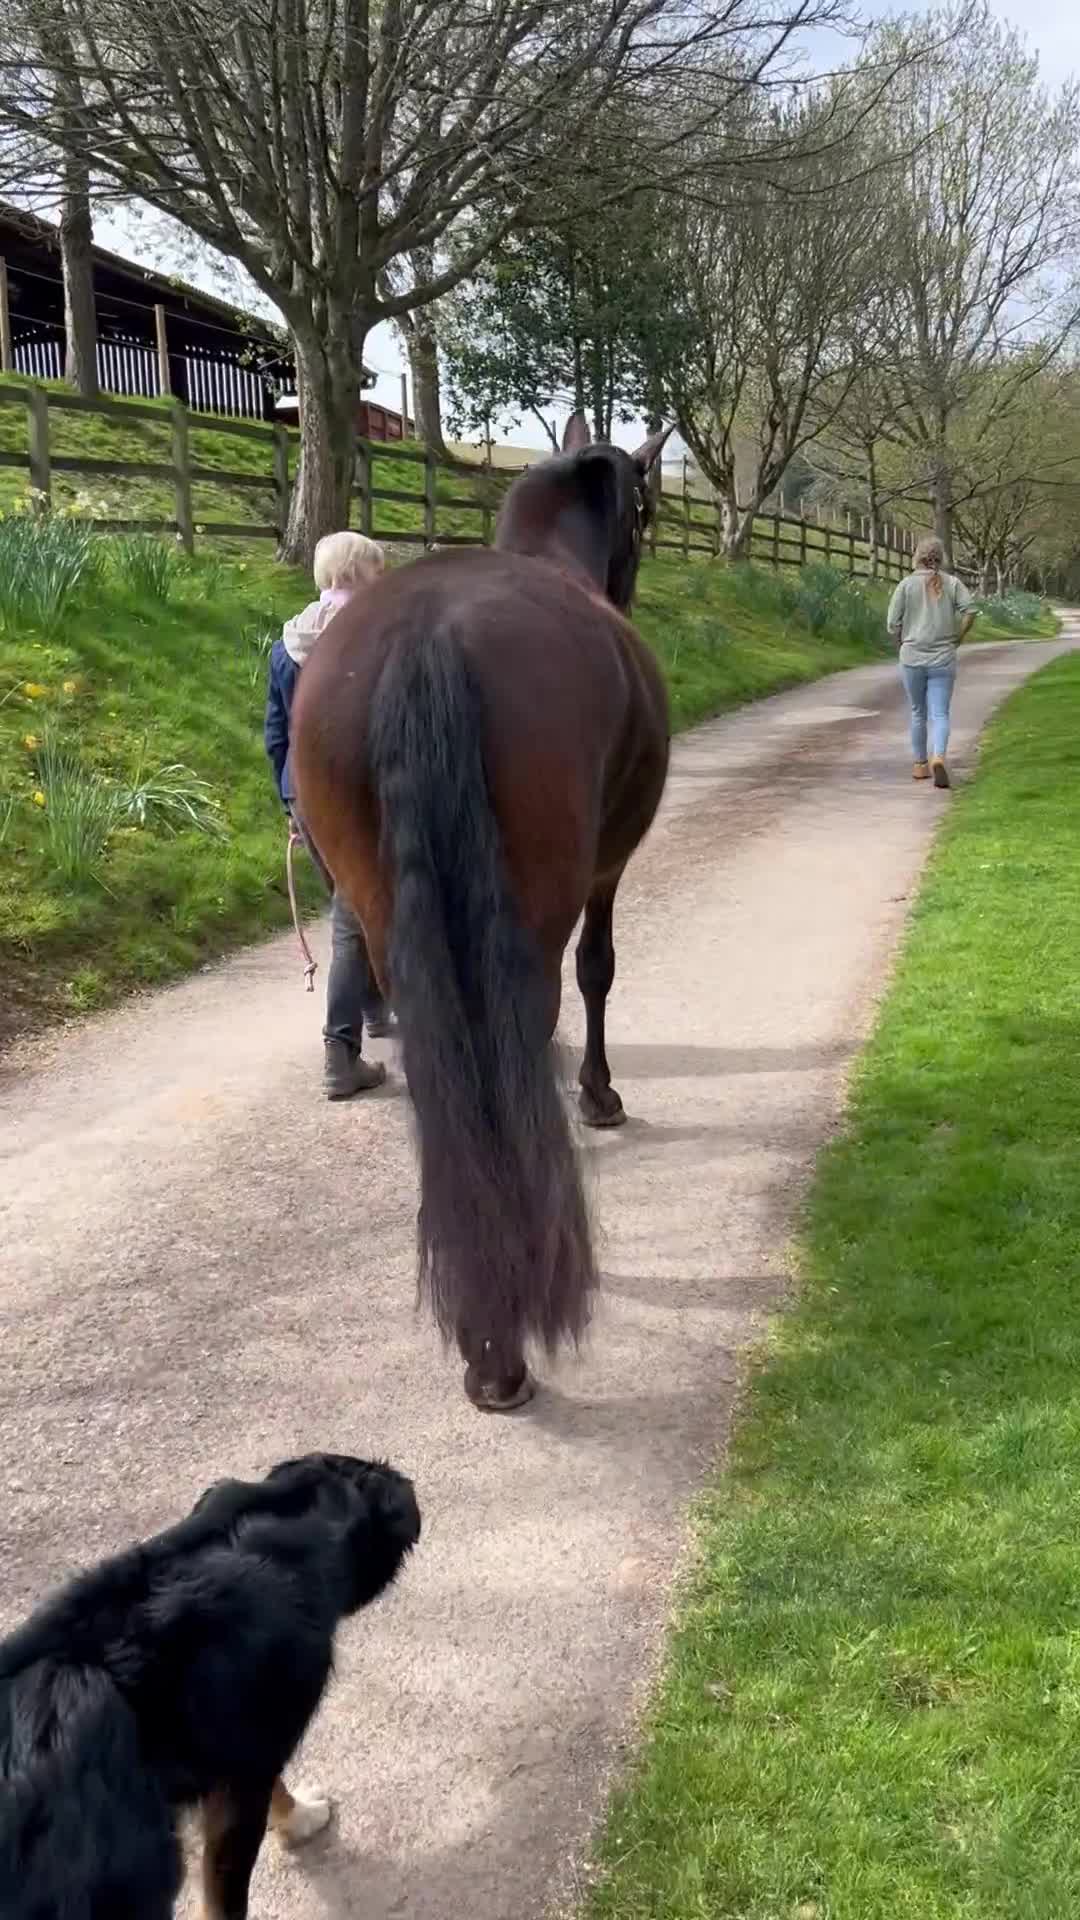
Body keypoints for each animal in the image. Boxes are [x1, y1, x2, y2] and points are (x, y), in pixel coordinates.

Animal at [291, 412, 672, 1412]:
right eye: (646, 507)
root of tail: (426, 635)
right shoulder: (607, 868)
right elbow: (600, 973)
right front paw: (600, 1097)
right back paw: (506, 1335)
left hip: (384, 915)